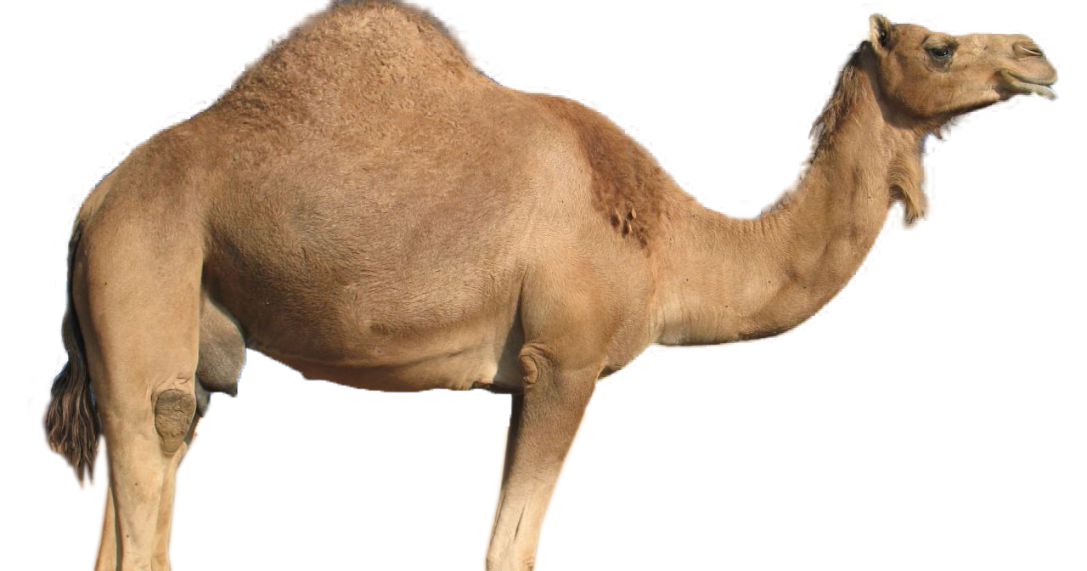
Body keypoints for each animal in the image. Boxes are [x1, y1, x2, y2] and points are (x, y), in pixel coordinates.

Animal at [35, 1, 1060, 570]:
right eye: (935, 46)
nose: (1042, 48)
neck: (677, 240)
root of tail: (92, 198)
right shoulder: (563, 360)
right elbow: (510, 545)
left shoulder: (537, 373)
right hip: (146, 256)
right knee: (153, 441)